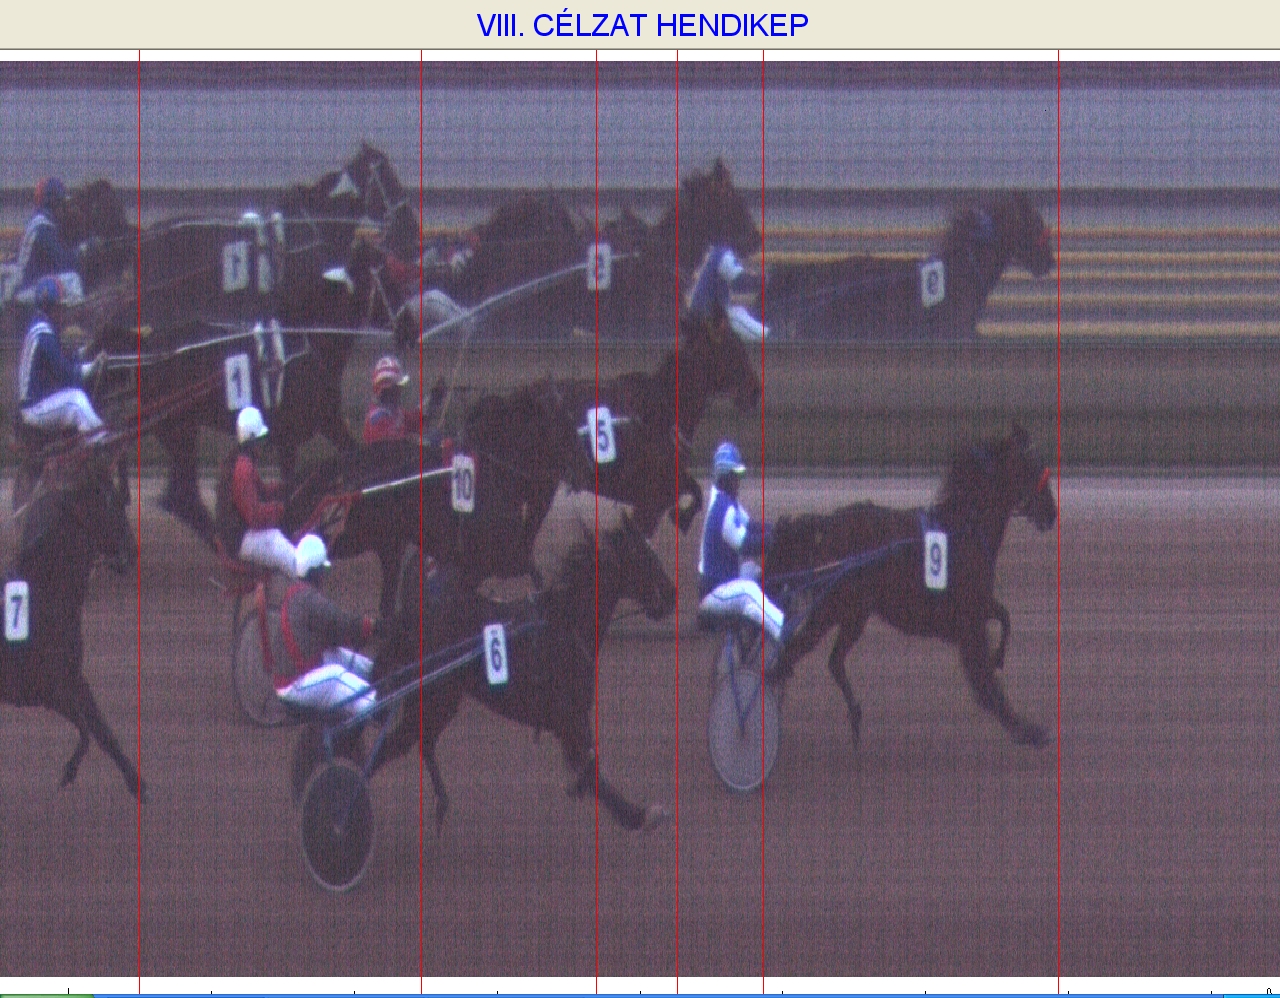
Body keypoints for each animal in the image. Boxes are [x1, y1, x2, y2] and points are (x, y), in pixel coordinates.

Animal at [1, 448, 146, 801]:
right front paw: (69, 772)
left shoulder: (74, 678)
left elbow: (101, 730)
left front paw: (137, 783)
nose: (132, 551)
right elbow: (86, 731)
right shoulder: (46, 689)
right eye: (116, 503)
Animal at [293, 504, 677, 834]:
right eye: (645, 556)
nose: (672, 595)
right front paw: (640, 815)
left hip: (440, 699)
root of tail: (411, 617)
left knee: (411, 741)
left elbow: (588, 768)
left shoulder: (570, 720)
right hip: (436, 697)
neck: (563, 624)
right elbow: (592, 770)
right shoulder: (568, 717)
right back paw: (337, 811)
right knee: (391, 745)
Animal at [764, 423, 1056, 750]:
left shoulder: (976, 607)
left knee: (831, 661)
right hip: (833, 610)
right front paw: (1027, 730)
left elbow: (1005, 618)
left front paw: (999, 659)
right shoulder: (968, 621)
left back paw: (853, 717)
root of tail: (825, 526)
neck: (965, 528)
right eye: (1031, 467)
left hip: (853, 614)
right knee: (792, 656)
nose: (1051, 513)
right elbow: (985, 682)